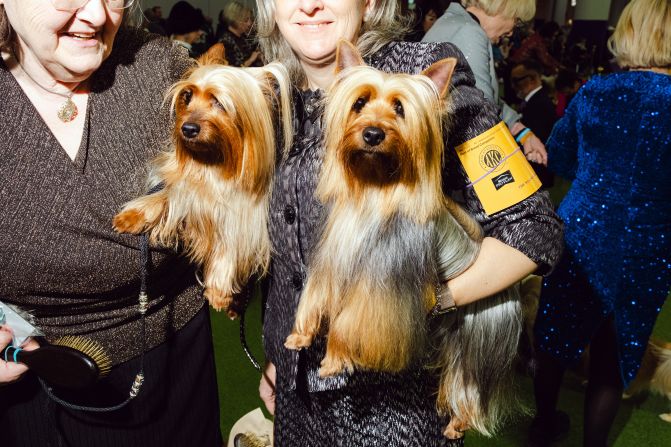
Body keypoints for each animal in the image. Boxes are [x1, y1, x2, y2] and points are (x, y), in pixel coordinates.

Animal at [113, 45, 292, 316]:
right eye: (187, 96)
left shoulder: (243, 216)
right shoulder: (185, 187)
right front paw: (133, 216)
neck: (214, 163)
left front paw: (219, 290)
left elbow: (230, 248)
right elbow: (165, 196)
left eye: (219, 102)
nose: (187, 128)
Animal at [284, 40, 524, 440]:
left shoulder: (382, 287)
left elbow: (349, 321)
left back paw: (457, 423)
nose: (373, 134)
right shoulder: (336, 255)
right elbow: (318, 293)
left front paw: (333, 360)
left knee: (468, 383)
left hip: (479, 332)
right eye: (359, 103)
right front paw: (301, 336)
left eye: (400, 109)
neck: (374, 189)